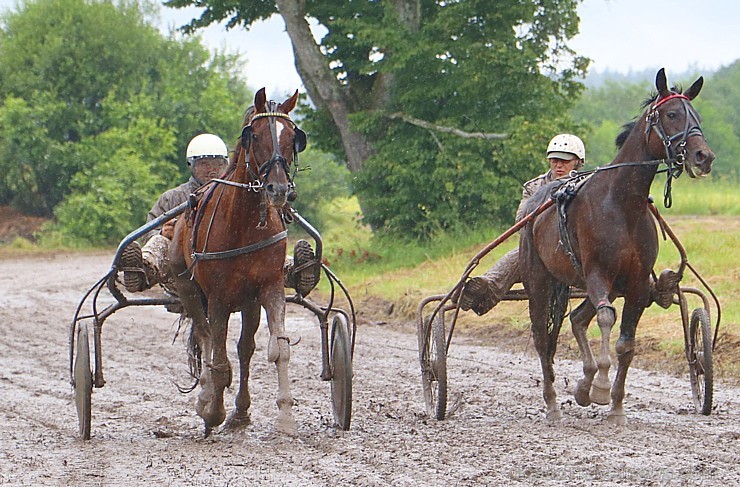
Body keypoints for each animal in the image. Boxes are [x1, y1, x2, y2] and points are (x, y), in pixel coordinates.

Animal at [169, 87, 304, 434]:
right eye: (254, 136)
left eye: (292, 138)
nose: (278, 189)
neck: (243, 223)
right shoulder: (217, 297)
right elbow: (217, 355)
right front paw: (213, 409)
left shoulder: (269, 288)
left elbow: (278, 349)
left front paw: (285, 415)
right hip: (188, 288)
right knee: (205, 337)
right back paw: (207, 398)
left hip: (248, 301)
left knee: (244, 348)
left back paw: (240, 410)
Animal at [516, 68, 712, 424]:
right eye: (671, 114)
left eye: (698, 117)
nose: (703, 157)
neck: (622, 205)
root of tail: (536, 205)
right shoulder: (598, 274)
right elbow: (607, 319)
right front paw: (601, 388)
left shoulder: (635, 283)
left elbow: (626, 345)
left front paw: (615, 405)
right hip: (539, 280)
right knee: (542, 337)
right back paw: (552, 403)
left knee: (577, 318)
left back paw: (582, 384)